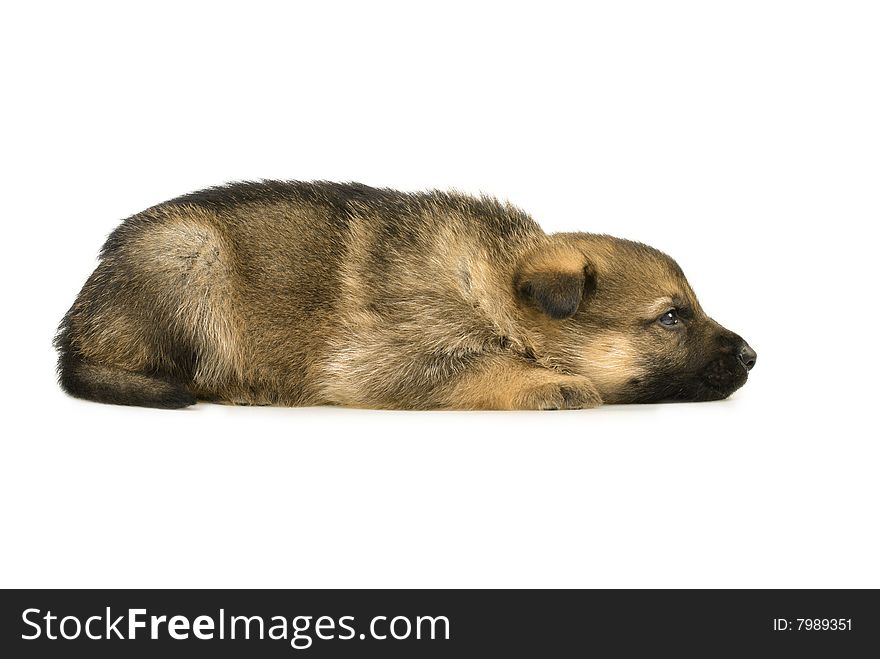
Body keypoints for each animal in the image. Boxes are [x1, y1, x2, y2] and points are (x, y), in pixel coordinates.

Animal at [55, 180, 756, 408]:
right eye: (672, 317)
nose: (753, 356)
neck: (488, 287)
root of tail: (77, 325)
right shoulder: (383, 362)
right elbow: (481, 365)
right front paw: (547, 383)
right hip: (188, 254)